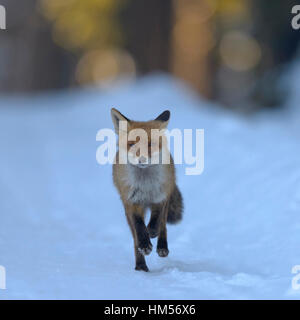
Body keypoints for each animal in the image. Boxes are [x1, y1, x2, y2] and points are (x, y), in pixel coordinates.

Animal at [110, 108, 183, 272]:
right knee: (134, 237)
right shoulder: (131, 201)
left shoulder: (161, 196)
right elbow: (139, 226)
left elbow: (157, 219)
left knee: (163, 224)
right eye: (131, 144)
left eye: (151, 144)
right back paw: (141, 264)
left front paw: (152, 232)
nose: (142, 159)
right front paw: (144, 244)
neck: (146, 186)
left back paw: (162, 246)